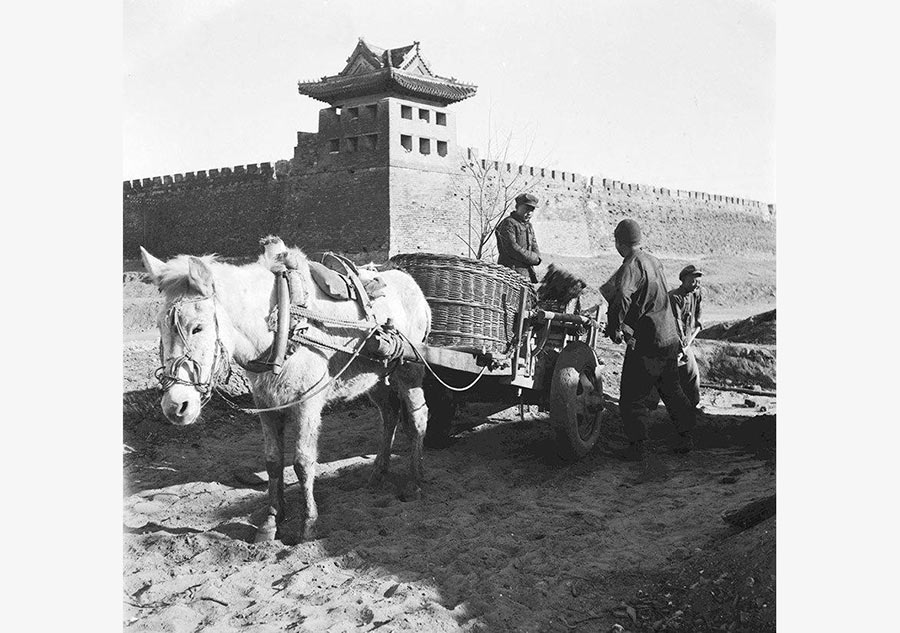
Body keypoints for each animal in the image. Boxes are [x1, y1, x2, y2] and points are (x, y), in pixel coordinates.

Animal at [141, 244, 432, 540]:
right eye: (160, 326)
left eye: (197, 327)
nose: (176, 405)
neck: (283, 325)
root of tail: (413, 285)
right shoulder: (266, 404)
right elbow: (273, 461)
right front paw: (271, 521)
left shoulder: (307, 405)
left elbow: (303, 463)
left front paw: (308, 524)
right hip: (376, 378)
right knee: (390, 415)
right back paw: (378, 473)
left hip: (408, 370)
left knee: (417, 419)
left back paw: (414, 482)